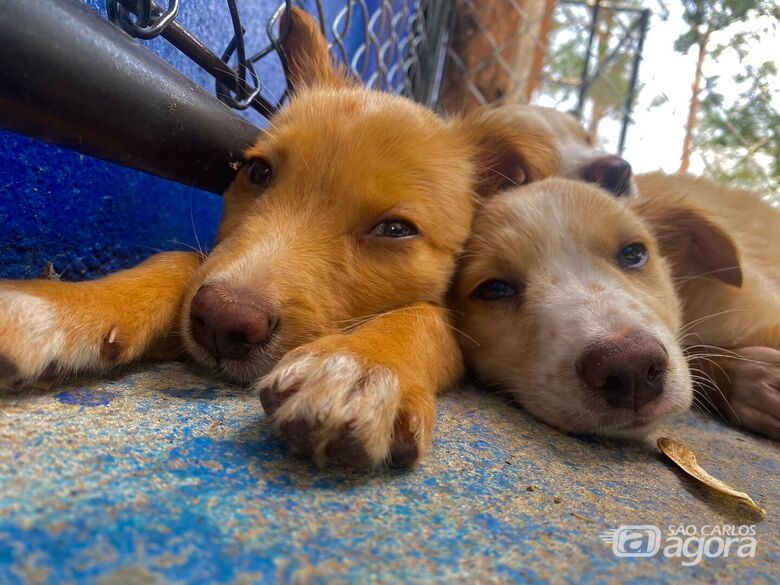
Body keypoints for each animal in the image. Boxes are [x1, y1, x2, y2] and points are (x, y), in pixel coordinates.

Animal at [0, 8, 560, 466]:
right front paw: (68, 304)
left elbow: (427, 315)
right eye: (259, 172)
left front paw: (364, 366)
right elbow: (181, 259)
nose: (223, 322)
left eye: (396, 230)